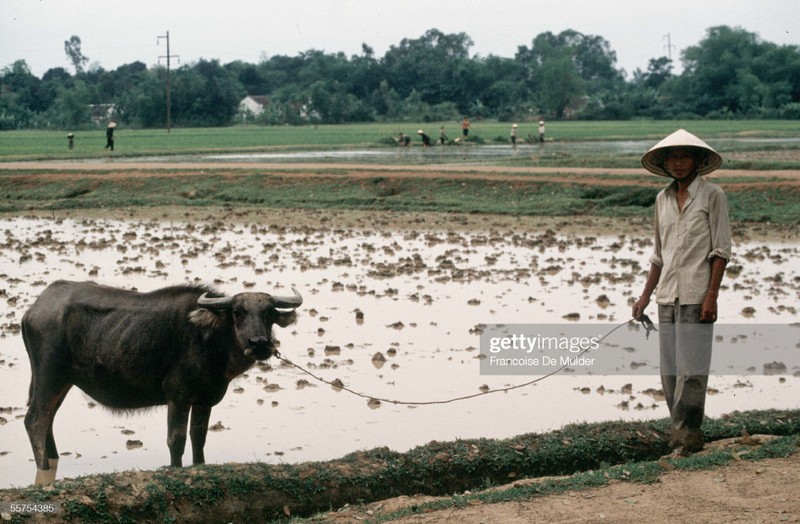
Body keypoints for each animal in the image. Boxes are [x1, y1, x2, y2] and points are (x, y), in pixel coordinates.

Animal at [22, 280, 304, 486]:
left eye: (269, 313)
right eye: (238, 312)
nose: (259, 344)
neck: (207, 339)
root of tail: (33, 310)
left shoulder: (205, 399)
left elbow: (198, 436)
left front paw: (199, 465)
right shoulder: (177, 396)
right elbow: (176, 439)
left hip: (61, 383)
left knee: (48, 419)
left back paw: (52, 460)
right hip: (50, 377)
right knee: (35, 420)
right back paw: (44, 468)